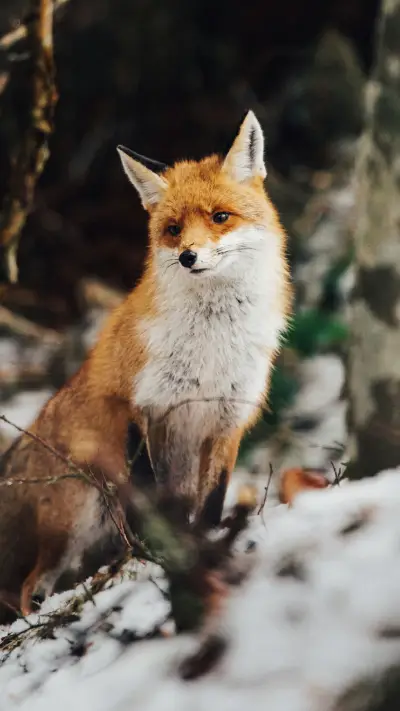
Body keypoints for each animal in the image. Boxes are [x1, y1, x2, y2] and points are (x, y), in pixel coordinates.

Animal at [0, 110, 291, 619]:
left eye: (220, 217)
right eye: (173, 228)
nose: (189, 256)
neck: (210, 347)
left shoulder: (227, 419)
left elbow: (211, 503)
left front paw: (205, 546)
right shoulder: (141, 408)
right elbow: (156, 497)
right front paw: (170, 557)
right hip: (76, 517)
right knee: (29, 587)